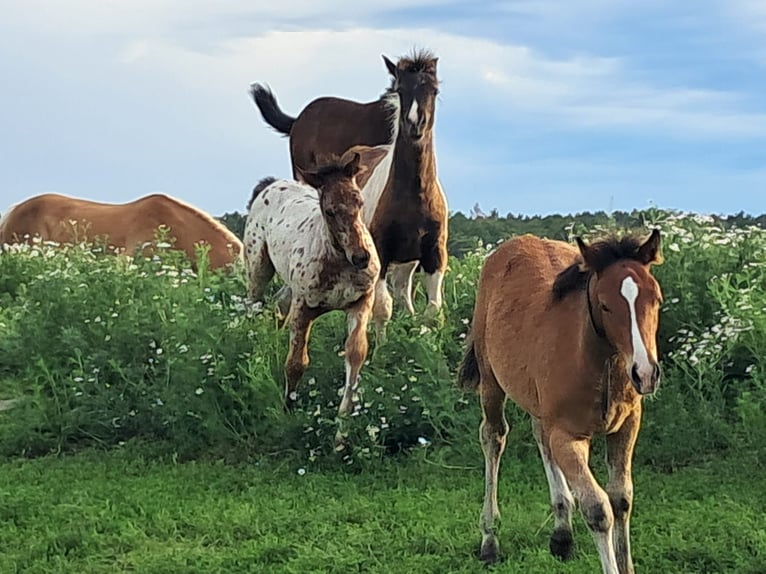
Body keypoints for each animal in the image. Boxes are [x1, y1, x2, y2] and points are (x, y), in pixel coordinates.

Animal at [246, 143, 390, 414]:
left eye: (359, 201)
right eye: (330, 211)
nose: (361, 257)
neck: (339, 263)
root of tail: (270, 184)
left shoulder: (360, 302)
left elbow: (356, 353)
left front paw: (343, 418)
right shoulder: (303, 308)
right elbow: (296, 363)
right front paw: (288, 410)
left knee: (278, 305)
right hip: (258, 268)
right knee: (253, 306)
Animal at [249, 49, 452, 320]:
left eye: (434, 90)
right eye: (400, 89)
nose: (414, 124)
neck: (414, 197)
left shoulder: (435, 254)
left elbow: (432, 310)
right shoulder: (380, 252)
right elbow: (381, 307)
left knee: (402, 288)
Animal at [462, 231, 664, 574]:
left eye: (657, 299)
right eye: (605, 305)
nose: (645, 373)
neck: (602, 365)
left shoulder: (626, 425)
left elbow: (621, 498)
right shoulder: (567, 436)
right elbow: (597, 508)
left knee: (538, 434)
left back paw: (561, 534)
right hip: (491, 383)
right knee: (493, 436)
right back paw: (490, 540)